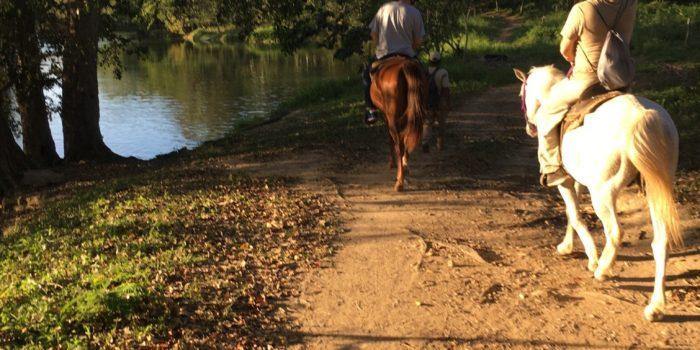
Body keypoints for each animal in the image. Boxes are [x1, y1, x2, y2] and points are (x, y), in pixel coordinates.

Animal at [372, 57, 426, 191]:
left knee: (399, 145)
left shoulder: (386, 115)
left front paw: (392, 163)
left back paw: (399, 182)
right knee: (408, 137)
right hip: (416, 113)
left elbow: (390, 138)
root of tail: (405, 66)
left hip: (393, 118)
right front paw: (406, 164)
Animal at [512, 65, 680, 320]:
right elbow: (571, 215)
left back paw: (602, 269)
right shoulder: (577, 181)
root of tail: (642, 116)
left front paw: (590, 257)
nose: (530, 128)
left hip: (603, 194)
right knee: (661, 242)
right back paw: (656, 307)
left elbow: (575, 216)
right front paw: (567, 246)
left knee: (615, 232)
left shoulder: (564, 182)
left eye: (522, 95)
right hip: (656, 190)